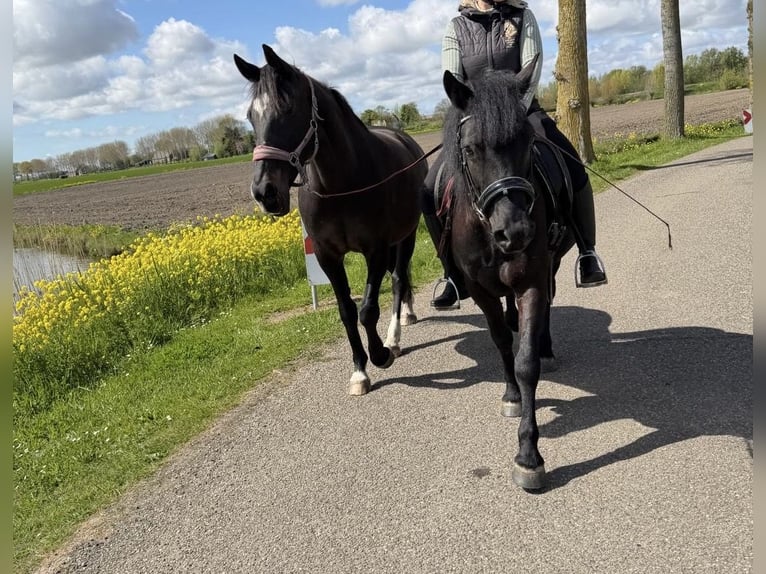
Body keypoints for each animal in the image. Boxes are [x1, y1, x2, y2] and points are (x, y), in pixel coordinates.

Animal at [233, 45, 428, 396]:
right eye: (251, 116)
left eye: (288, 108)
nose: (265, 192)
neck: (341, 185)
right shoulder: (327, 256)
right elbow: (347, 311)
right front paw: (359, 370)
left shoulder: (376, 250)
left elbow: (368, 310)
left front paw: (380, 355)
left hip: (405, 236)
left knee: (398, 280)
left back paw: (394, 337)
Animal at [436, 60, 576, 490]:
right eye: (469, 149)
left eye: (529, 144)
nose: (514, 231)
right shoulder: (480, 290)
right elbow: (500, 341)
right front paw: (512, 396)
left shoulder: (531, 280)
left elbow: (526, 361)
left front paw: (529, 456)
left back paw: (546, 345)